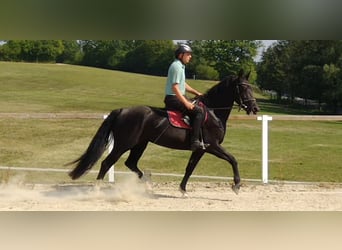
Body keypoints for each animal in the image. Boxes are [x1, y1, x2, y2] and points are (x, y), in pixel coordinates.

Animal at [68, 69, 260, 194]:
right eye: (244, 87)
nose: (255, 108)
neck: (213, 112)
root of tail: (122, 110)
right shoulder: (212, 146)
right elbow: (233, 160)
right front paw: (236, 186)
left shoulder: (200, 149)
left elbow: (190, 168)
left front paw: (182, 189)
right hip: (123, 144)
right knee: (106, 163)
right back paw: (97, 190)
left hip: (140, 144)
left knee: (131, 163)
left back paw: (147, 185)